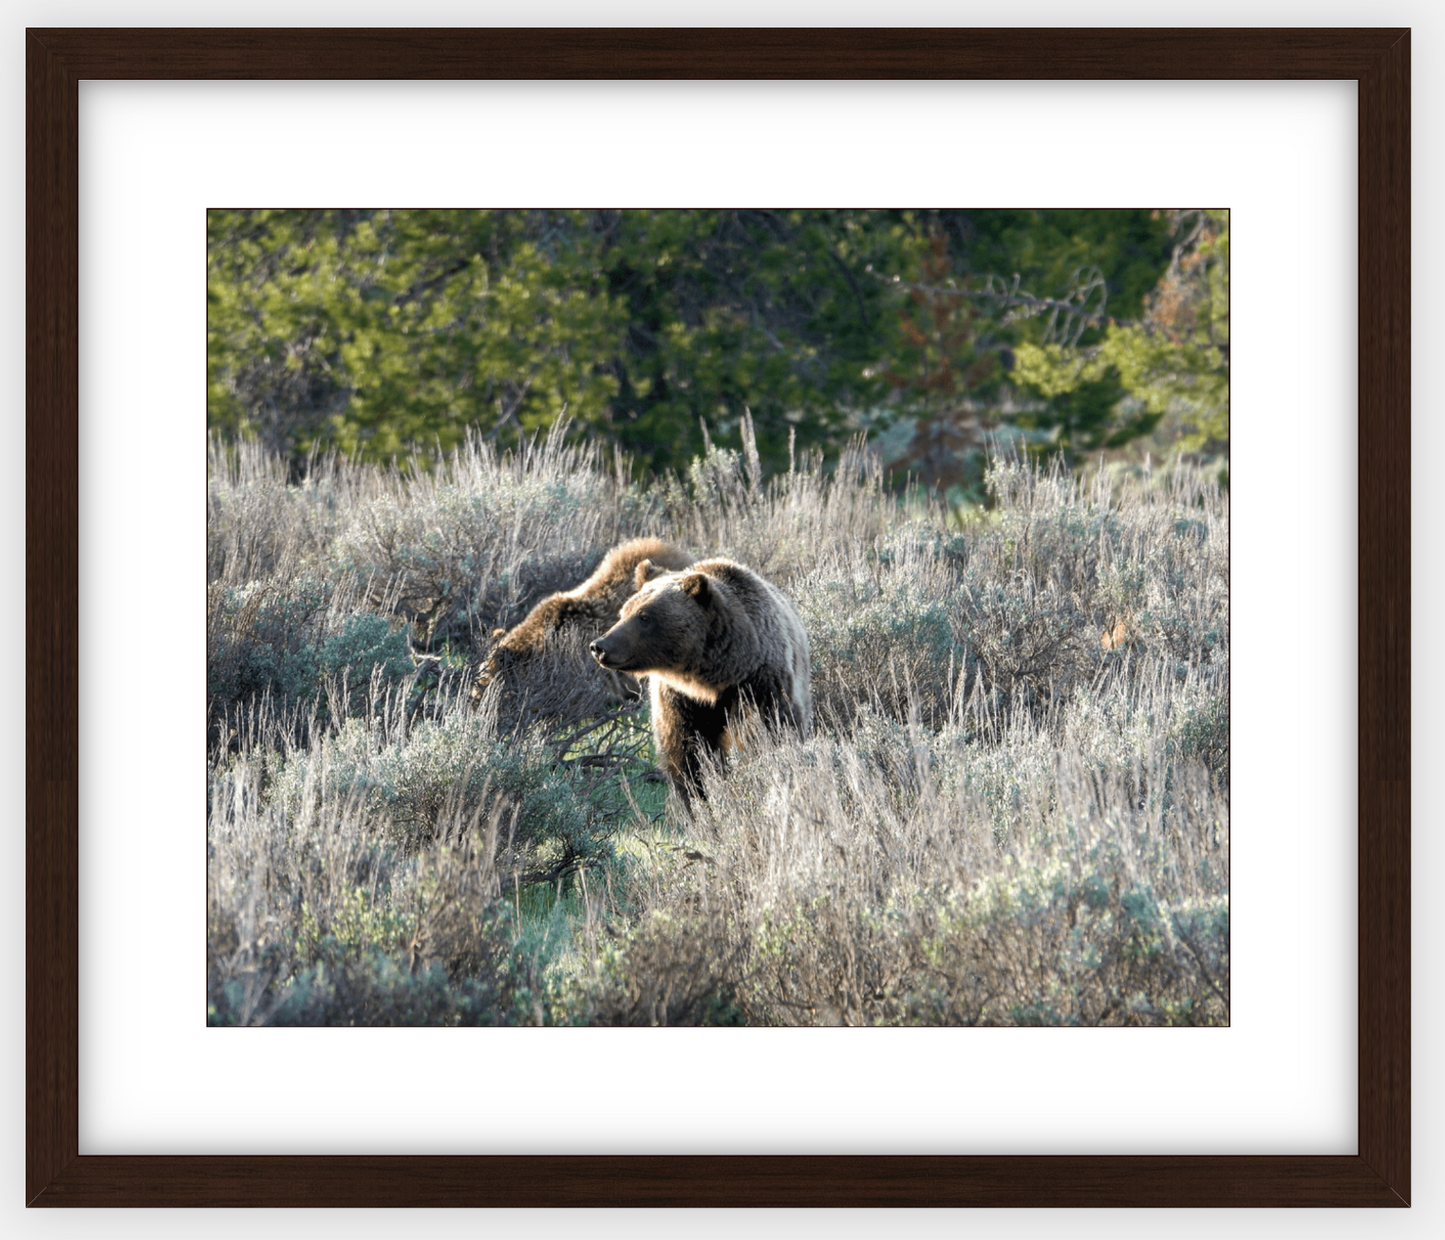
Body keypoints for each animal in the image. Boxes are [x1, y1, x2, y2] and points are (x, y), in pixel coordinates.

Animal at [589, 557, 814, 809]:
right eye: (624, 611)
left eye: (644, 616)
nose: (600, 646)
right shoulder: (678, 698)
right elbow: (684, 753)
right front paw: (695, 799)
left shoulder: (758, 683)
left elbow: (767, 731)